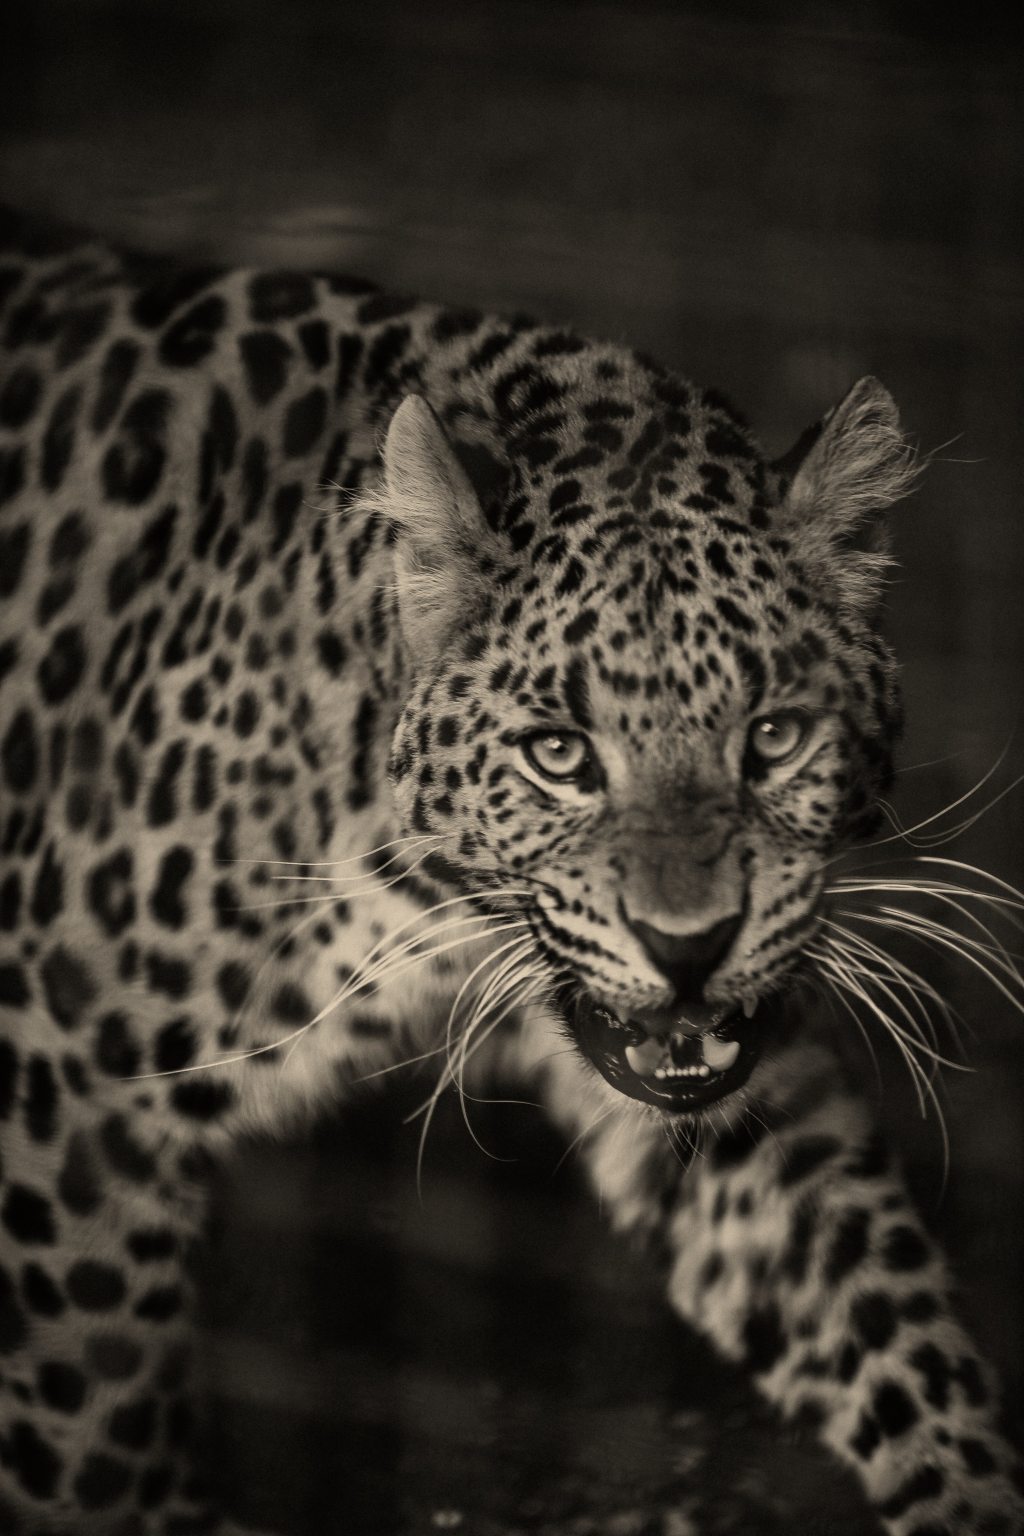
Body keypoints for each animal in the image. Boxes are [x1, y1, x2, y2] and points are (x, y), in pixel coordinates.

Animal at [0, 201, 1021, 1536]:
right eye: (558, 753)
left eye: (772, 737)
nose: (688, 946)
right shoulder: (65, 1093)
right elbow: (94, 1429)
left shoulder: (733, 1083)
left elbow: (877, 1312)